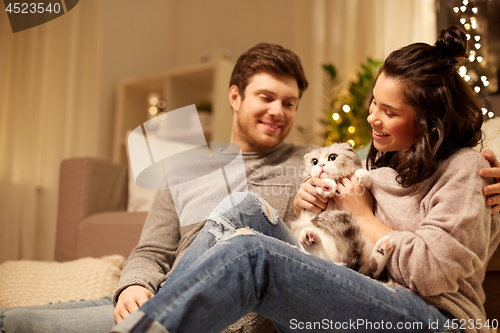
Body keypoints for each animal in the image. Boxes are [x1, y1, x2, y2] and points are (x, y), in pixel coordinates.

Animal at [290, 142, 394, 278]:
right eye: (314, 161)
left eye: (332, 157)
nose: (321, 165)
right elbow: (323, 182)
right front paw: (327, 186)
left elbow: (365, 179)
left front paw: (362, 175)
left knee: (368, 270)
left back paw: (383, 248)